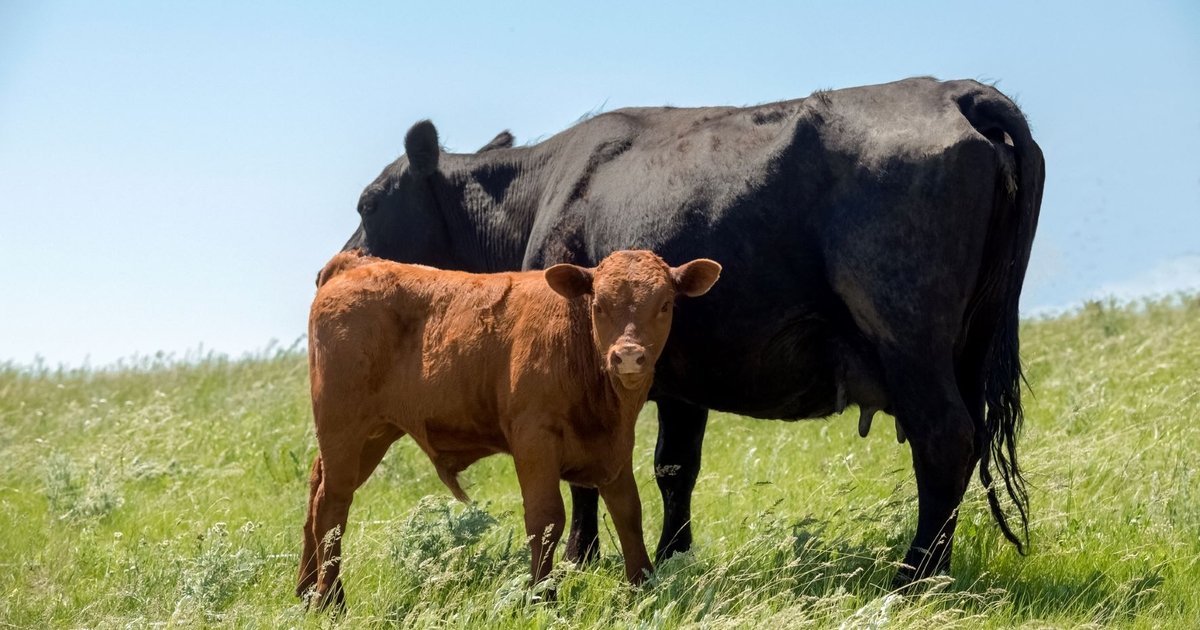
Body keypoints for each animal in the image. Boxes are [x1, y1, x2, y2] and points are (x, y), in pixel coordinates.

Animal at [297, 249, 722, 608]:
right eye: (599, 305)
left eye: (665, 305)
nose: (629, 356)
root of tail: (355, 264)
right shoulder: (534, 438)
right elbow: (546, 518)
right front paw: (542, 598)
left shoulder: (616, 447)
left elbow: (628, 513)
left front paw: (643, 587)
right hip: (343, 427)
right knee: (331, 506)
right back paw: (330, 601)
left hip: (372, 435)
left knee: (316, 492)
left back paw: (306, 592)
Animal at [341, 76, 1045, 585]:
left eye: (368, 203)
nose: (342, 266)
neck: (541, 192)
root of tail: (955, 91)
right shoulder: (681, 378)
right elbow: (674, 467)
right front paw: (671, 559)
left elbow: (584, 472)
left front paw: (577, 562)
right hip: (968, 344)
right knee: (969, 442)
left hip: (906, 332)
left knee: (945, 439)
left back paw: (913, 577)